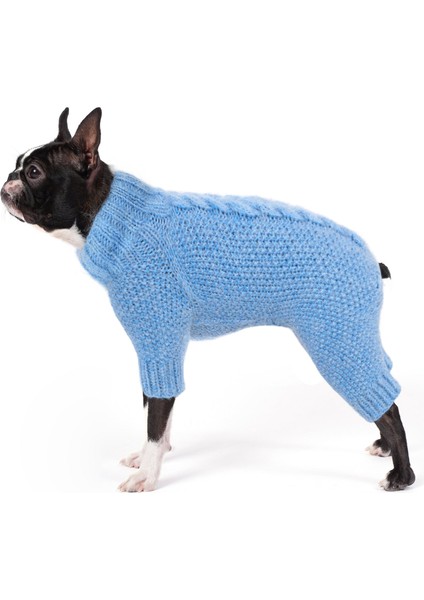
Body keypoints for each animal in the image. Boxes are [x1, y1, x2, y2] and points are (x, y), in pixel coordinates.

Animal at [1, 108, 415, 492]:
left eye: (34, 172)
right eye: (18, 162)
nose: (8, 179)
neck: (113, 217)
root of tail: (371, 261)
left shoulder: (158, 339)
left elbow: (156, 416)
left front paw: (148, 475)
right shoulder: (160, 346)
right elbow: (159, 411)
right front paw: (150, 457)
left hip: (336, 340)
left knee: (386, 402)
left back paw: (401, 474)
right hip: (354, 337)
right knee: (385, 382)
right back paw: (383, 446)